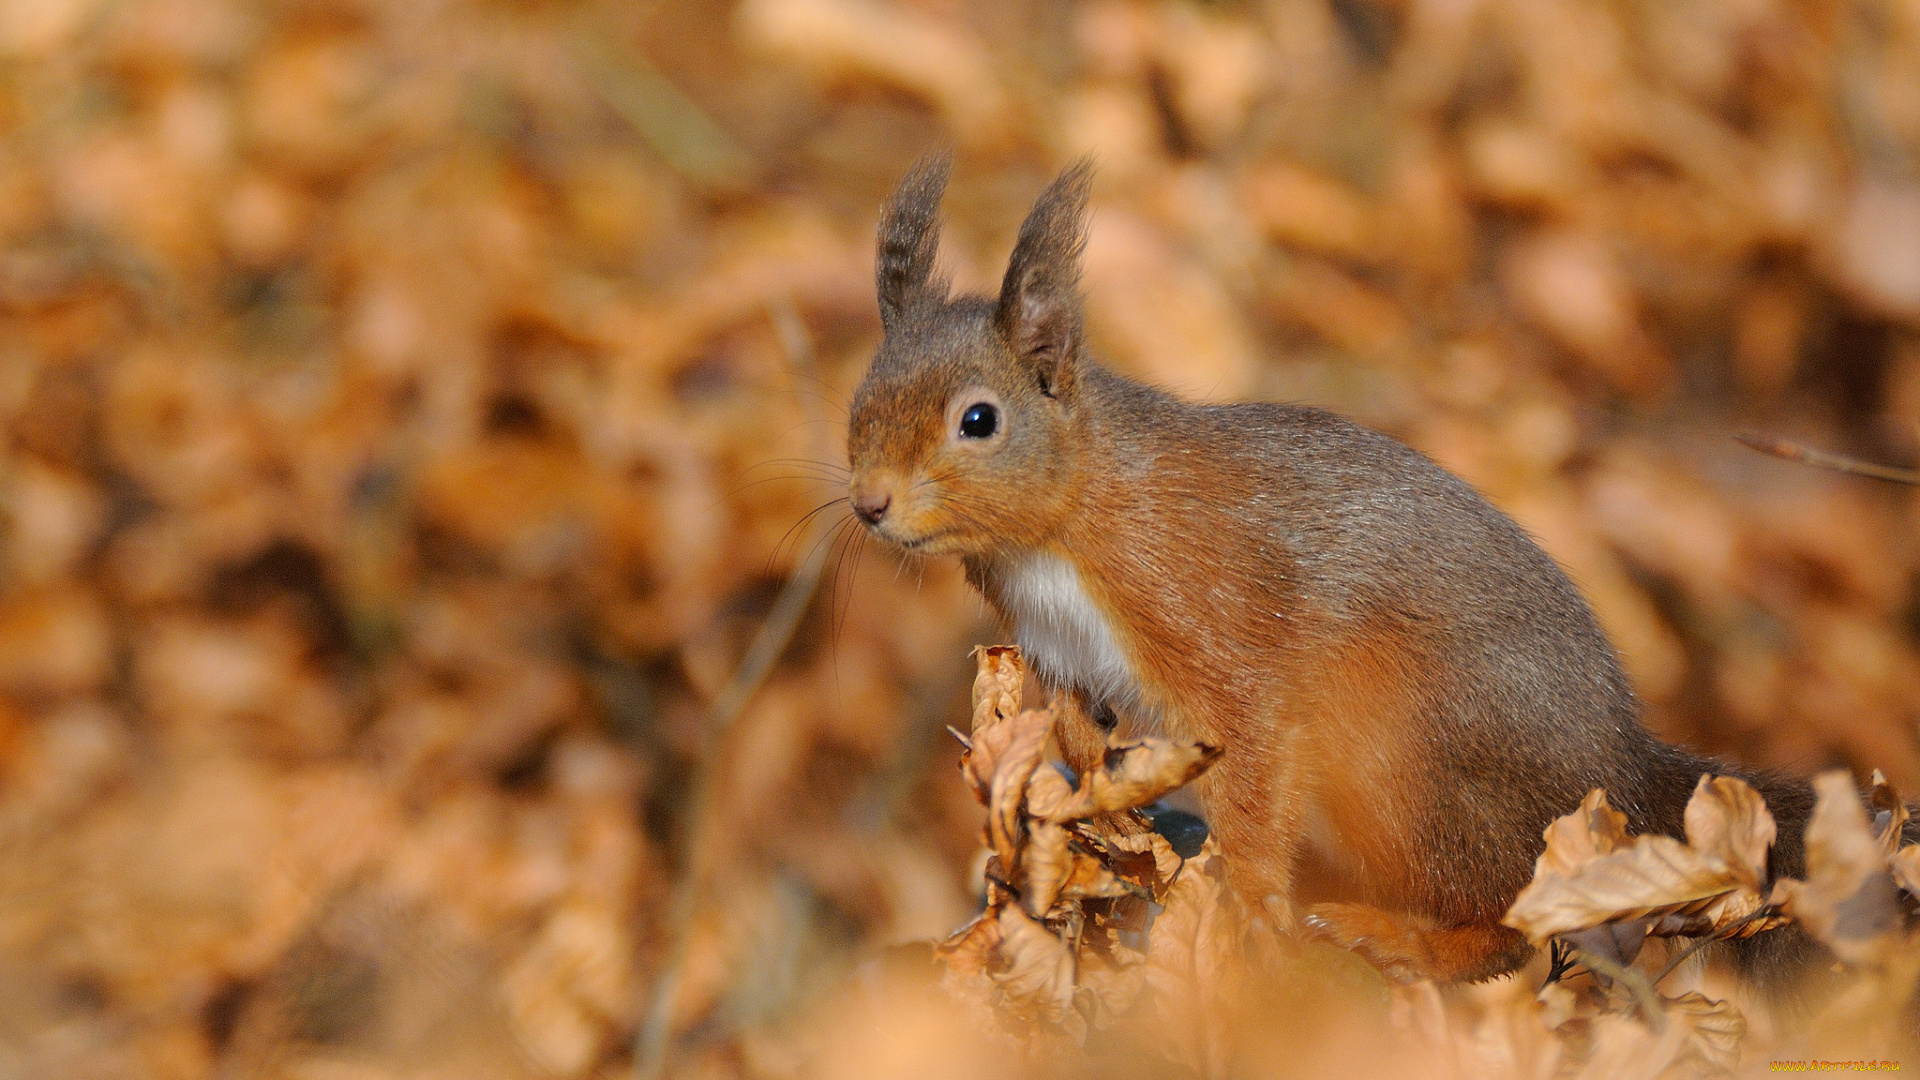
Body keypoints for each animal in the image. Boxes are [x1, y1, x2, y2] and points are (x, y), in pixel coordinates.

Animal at [844, 153, 1827, 983]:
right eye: (861, 398)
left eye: (979, 420)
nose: (869, 503)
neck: (1058, 529)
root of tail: (1617, 770)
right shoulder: (1061, 655)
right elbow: (1085, 748)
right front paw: (1095, 826)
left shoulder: (1210, 611)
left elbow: (1252, 756)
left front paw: (1251, 902)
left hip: (1406, 760)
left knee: (1513, 919)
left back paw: (1405, 937)